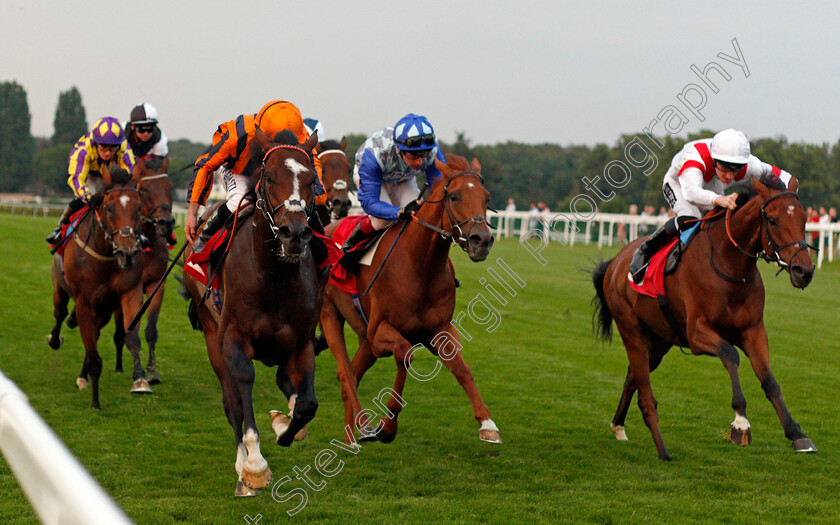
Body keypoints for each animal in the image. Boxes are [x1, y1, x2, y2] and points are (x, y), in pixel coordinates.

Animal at [49, 166, 151, 408]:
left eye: (139, 207)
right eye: (109, 208)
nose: (127, 253)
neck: (106, 255)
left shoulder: (130, 293)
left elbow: (131, 337)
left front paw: (140, 380)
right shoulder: (84, 303)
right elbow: (94, 354)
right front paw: (95, 402)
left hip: (104, 310)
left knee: (93, 336)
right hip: (60, 288)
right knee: (61, 314)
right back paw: (56, 341)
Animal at [182, 128, 324, 496]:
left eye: (311, 180)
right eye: (269, 176)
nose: (294, 233)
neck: (273, 277)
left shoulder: (302, 342)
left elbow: (306, 405)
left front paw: (285, 428)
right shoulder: (232, 337)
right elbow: (243, 385)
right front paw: (255, 465)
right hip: (211, 334)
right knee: (231, 401)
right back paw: (241, 470)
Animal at [322, 154, 506, 444]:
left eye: (486, 197)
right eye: (454, 196)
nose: (482, 240)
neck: (419, 265)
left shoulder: (438, 329)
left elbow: (463, 370)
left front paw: (488, 424)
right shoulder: (380, 331)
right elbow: (405, 354)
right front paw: (387, 427)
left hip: (364, 337)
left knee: (353, 373)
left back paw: (352, 434)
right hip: (330, 314)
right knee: (345, 374)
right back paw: (363, 426)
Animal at [592, 175, 812, 458]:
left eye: (804, 219)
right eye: (772, 220)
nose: (804, 270)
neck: (728, 264)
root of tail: (615, 262)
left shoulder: (753, 331)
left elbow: (769, 380)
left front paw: (797, 434)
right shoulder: (697, 334)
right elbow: (731, 354)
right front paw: (740, 422)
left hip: (660, 341)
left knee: (633, 377)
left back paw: (618, 426)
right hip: (632, 330)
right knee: (641, 383)